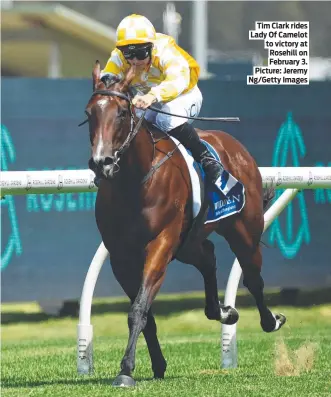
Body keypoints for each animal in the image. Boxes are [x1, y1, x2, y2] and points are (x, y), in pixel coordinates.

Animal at [82, 62, 286, 386]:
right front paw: (156, 364)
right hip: (188, 242)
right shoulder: (120, 256)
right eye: (90, 113)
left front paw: (126, 370)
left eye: (122, 113)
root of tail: (236, 147)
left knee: (253, 278)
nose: (102, 163)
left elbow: (138, 309)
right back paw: (224, 312)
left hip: (244, 231)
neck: (133, 181)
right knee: (208, 257)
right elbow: (145, 313)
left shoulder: (161, 244)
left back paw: (270, 320)